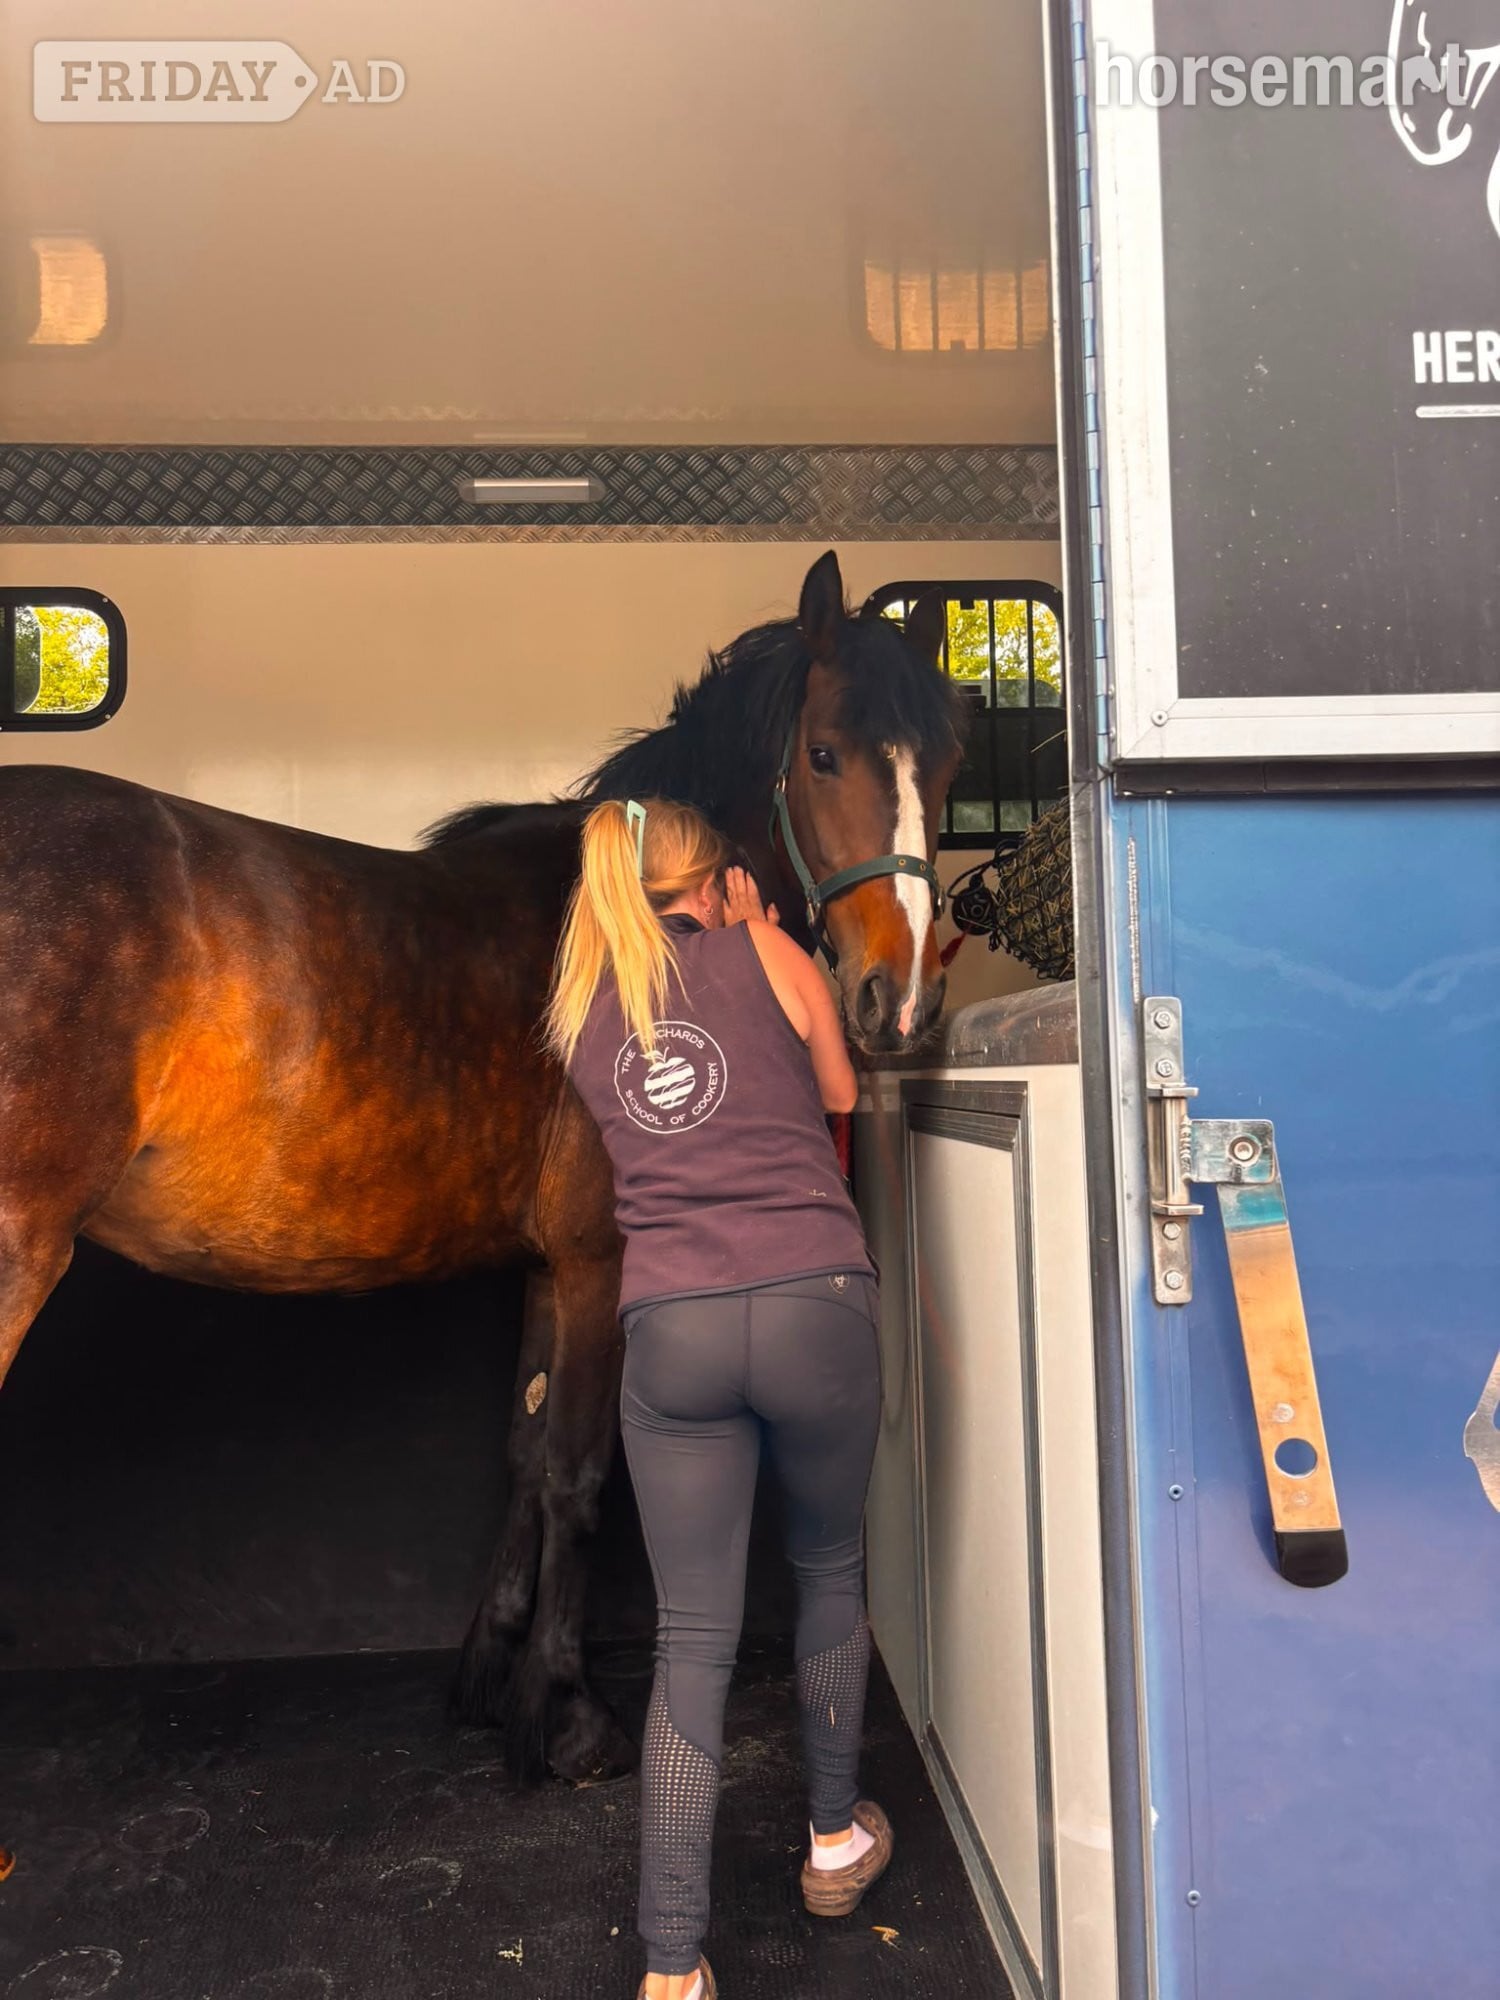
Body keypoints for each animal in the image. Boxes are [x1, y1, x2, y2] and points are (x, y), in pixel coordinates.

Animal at [0, 550, 962, 1781]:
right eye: (827, 753)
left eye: (946, 766)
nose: (901, 1001)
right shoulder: (603, 1261)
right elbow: (581, 1475)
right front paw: (569, 1712)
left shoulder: (550, 1265)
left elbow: (525, 1453)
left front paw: (492, 1675)